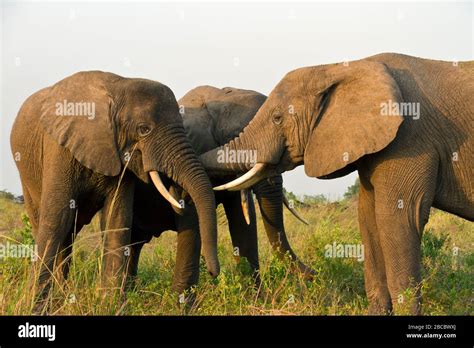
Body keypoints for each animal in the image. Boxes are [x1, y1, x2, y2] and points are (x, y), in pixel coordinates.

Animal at [9, 70, 220, 310]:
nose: (213, 272)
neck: (119, 85)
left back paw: (62, 297)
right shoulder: (59, 148)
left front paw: (112, 306)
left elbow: (117, 221)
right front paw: (35, 308)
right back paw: (58, 300)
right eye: (144, 129)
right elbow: (57, 219)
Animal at [201, 52, 474, 316]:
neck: (341, 68)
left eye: (277, 118)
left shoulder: (410, 139)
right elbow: (368, 218)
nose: (315, 275)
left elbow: (397, 218)